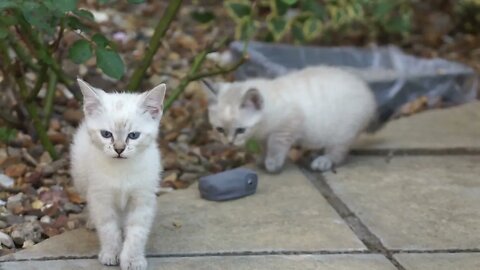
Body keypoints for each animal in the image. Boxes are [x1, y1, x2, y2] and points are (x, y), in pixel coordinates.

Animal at [69, 79, 166, 270]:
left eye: (133, 135)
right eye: (106, 134)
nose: (119, 149)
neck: (122, 171)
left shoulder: (142, 198)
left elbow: (137, 232)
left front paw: (133, 259)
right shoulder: (102, 198)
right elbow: (108, 229)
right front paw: (111, 254)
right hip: (81, 178)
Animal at [204, 66, 376, 174]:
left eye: (240, 130)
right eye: (220, 130)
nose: (229, 143)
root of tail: (368, 92)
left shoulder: (286, 127)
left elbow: (276, 147)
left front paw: (272, 164)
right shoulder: (265, 136)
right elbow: (265, 146)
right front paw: (262, 159)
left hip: (341, 134)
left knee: (338, 154)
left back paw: (323, 161)